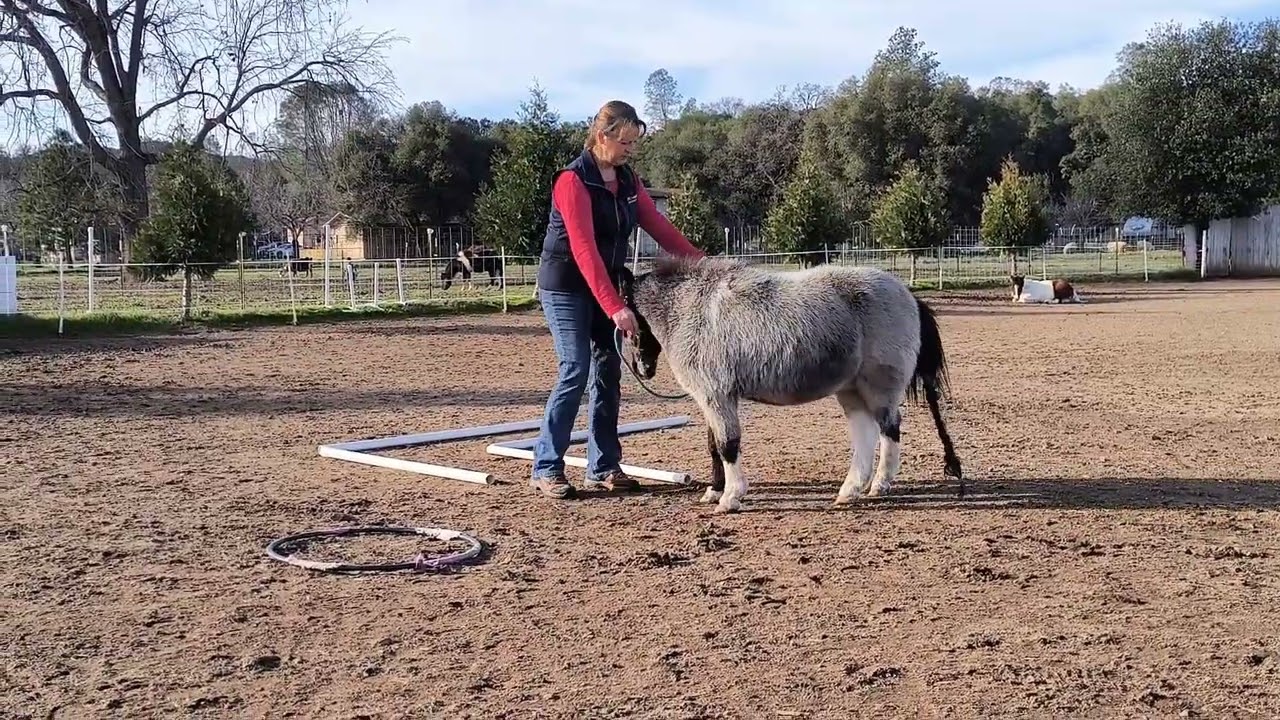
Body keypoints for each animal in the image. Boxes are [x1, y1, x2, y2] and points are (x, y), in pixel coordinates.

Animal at [616, 256, 964, 514]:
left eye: (628, 320)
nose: (643, 368)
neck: (694, 308)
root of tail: (909, 295)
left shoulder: (716, 396)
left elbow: (728, 445)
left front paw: (730, 498)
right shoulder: (714, 398)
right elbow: (715, 444)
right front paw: (715, 491)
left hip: (877, 387)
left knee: (889, 429)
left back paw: (879, 485)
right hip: (851, 390)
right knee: (865, 434)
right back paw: (850, 490)